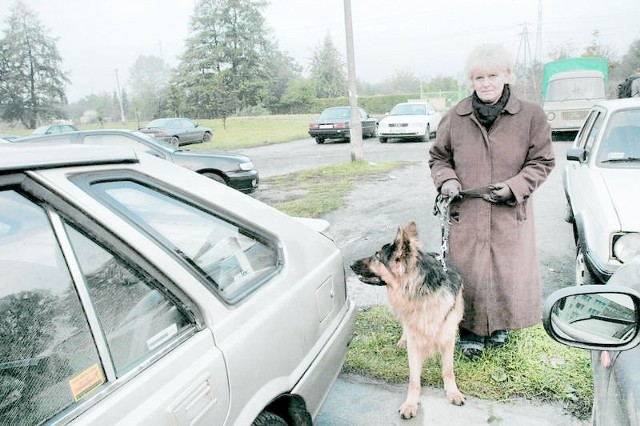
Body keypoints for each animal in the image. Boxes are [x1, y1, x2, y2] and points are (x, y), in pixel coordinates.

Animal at [350, 223, 464, 420]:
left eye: (377, 256)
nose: (350, 264)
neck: (420, 291)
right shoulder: (414, 342)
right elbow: (414, 379)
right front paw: (411, 403)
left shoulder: (447, 337)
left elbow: (448, 370)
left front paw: (453, 392)